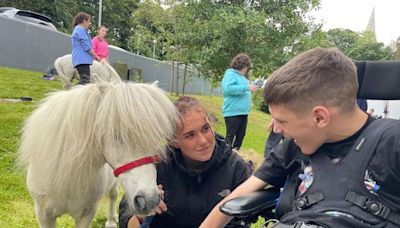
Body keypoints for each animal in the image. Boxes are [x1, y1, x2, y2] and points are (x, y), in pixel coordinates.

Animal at [18, 81, 178, 227]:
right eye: (116, 134)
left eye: (158, 138)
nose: (150, 200)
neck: (65, 178)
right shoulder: (43, 214)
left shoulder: (86, 215)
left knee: (113, 195)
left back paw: (111, 221)